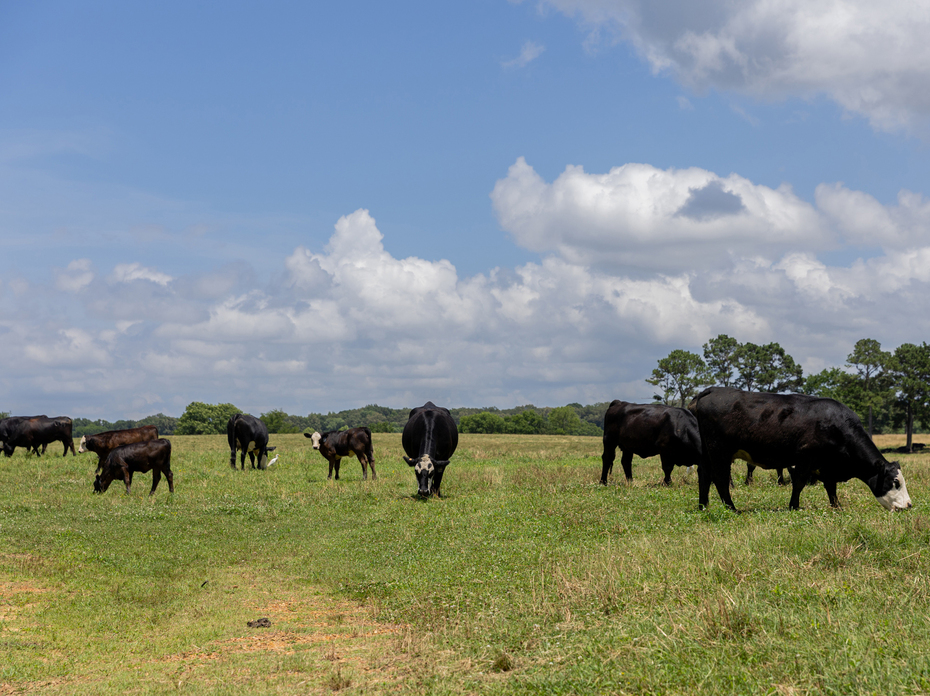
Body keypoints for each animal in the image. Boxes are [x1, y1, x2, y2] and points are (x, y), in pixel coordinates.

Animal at [689, 387, 912, 512]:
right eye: (895, 482)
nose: (909, 506)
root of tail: (711, 390)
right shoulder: (806, 458)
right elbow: (799, 483)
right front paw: (794, 506)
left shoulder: (827, 465)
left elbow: (831, 488)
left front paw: (837, 507)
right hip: (720, 451)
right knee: (719, 477)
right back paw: (732, 508)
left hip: (707, 452)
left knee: (704, 474)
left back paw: (703, 506)